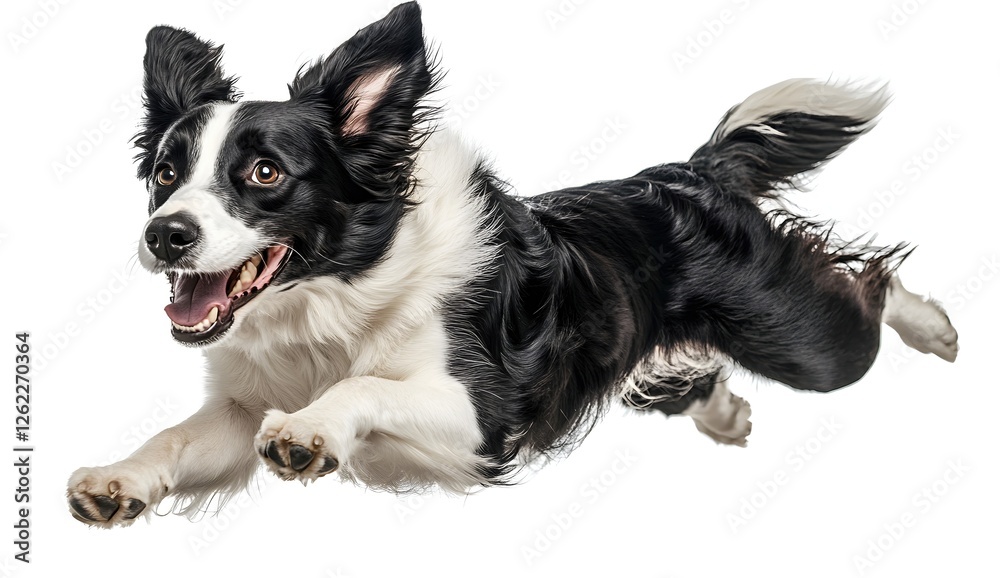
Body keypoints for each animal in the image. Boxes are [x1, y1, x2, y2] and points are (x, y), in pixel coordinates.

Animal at [66, 1, 956, 528]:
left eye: (262, 173)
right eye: (165, 174)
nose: (164, 236)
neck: (335, 295)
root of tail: (692, 173)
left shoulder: (480, 417)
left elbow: (362, 388)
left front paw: (311, 430)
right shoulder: (241, 407)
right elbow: (178, 438)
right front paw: (117, 480)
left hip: (802, 342)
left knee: (867, 287)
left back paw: (935, 326)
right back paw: (723, 410)